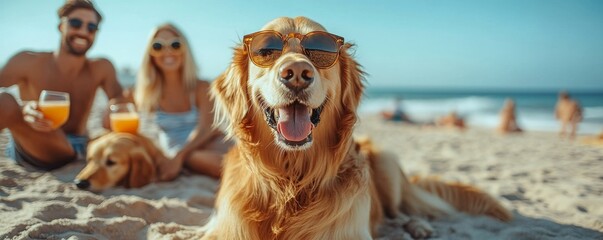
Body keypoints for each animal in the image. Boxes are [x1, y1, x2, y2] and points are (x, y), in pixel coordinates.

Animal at [203, 15, 510, 239]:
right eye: (266, 51)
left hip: (386, 164)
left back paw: (417, 226)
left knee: (397, 212)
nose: (297, 74)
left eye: (320, 51)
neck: (291, 181)